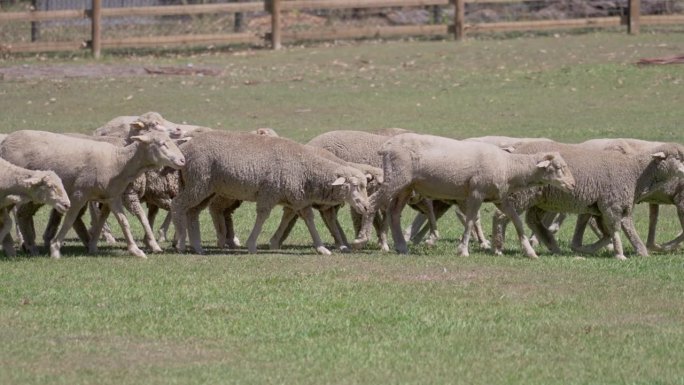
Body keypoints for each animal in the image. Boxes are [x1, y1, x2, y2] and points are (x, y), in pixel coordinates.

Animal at [0, 129, 186, 258]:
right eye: (162, 143)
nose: (182, 160)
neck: (118, 162)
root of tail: (6, 141)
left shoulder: (111, 197)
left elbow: (122, 221)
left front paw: (134, 250)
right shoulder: (79, 194)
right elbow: (69, 220)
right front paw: (55, 248)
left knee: (21, 214)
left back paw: (26, 247)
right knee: (17, 214)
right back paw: (19, 246)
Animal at [171, 131, 372, 255]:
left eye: (365, 185)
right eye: (355, 185)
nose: (366, 207)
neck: (306, 168)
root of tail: (185, 149)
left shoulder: (298, 198)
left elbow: (309, 219)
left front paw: (321, 248)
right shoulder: (269, 192)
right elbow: (262, 217)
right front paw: (252, 245)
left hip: (205, 188)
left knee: (192, 212)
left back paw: (197, 247)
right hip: (197, 181)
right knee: (177, 205)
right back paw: (180, 244)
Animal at [366, 133, 576, 258]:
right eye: (559, 167)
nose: (573, 184)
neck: (509, 166)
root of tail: (387, 145)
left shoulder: (499, 198)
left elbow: (516, 221)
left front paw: (530, 250)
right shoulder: (476, 193)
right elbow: (469, 221)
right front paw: (463, 250)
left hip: (406, 186)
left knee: (394, 212)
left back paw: (401, 246)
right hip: (396, 178)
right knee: (372, 203)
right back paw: (367, 241)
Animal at [494, 140, 684, 260]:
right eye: (677, 158)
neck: (635, 173)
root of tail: (515, 150)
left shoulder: (597, 206)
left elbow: (605, 233)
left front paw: (584, 249)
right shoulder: (613, 204)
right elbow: (620, 229)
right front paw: (623, 253)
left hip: (542, 199)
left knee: (531, 219)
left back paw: (551, 244)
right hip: (522, 194)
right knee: (501, 216)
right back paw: (498, 247)